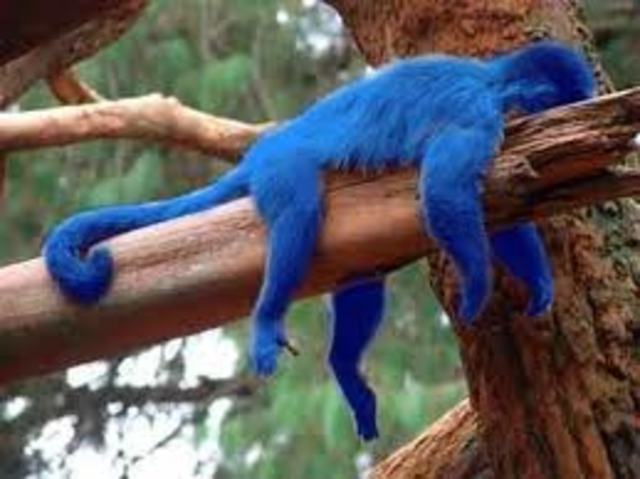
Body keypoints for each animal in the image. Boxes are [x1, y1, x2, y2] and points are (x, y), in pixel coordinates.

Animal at [43, 41, 595, 440]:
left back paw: (344, 368)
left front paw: (539, 283)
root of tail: (262, 149)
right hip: (281, 168)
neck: (491, 78)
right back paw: (267, 319)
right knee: (299, 216)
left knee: (362, 276)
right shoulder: (477, 112)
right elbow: (444, 189)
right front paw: (478, 286)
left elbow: (495, 210)